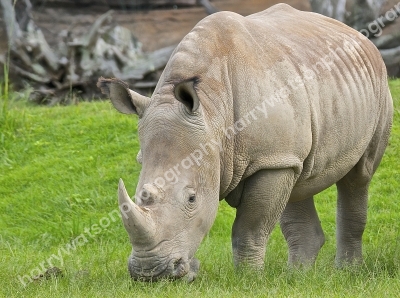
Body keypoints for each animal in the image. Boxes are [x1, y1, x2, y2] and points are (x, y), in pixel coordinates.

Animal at [97, 2, 394, 282]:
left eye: (192, 198)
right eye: (138, 195)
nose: (150, 273)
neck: (213, 117)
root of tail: (356, 34)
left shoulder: (268, 160)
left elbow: (250, 227)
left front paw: (249, 279)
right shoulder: (273, 154)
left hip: (378, 86)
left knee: (358, 176)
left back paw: (348, 271)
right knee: (298, 178)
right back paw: (297, 277)